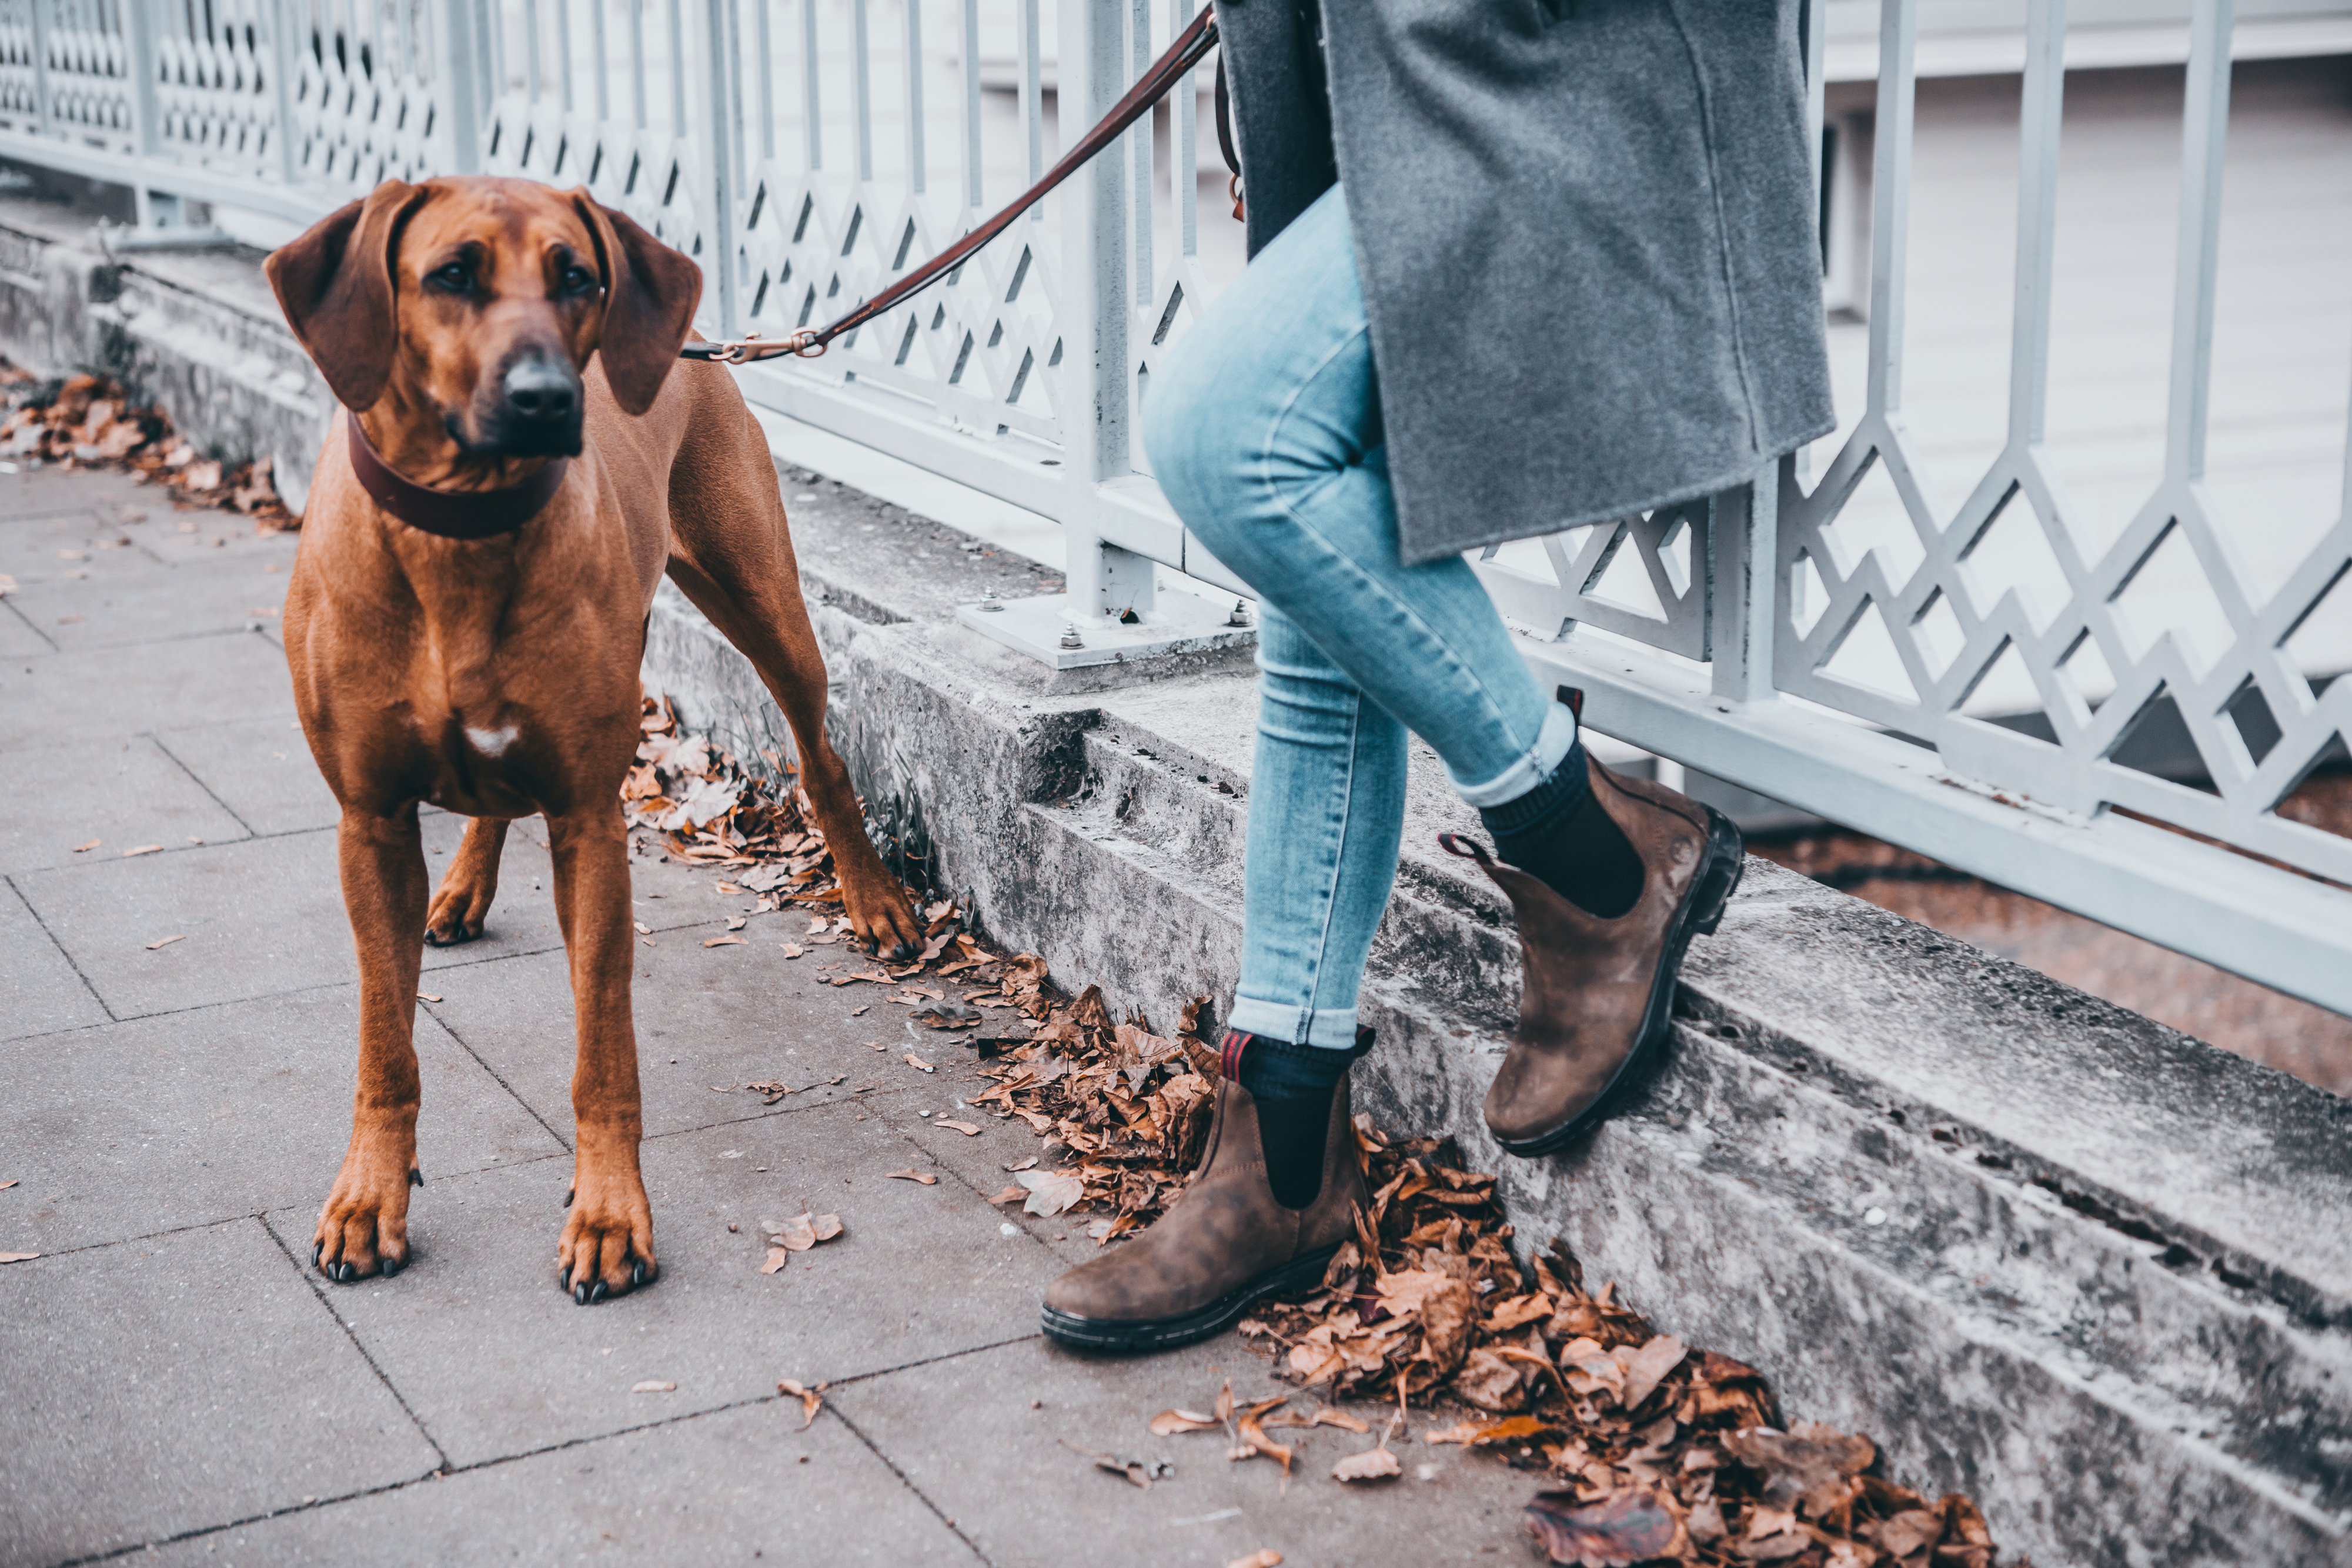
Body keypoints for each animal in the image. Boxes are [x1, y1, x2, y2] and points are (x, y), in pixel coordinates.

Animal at [260, 175, 917, 1298]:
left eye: (579, 277)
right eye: (451, 274)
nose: (546, 397)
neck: (466, 533)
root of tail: (702, 346)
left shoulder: (590, 823)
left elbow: (602, 1050)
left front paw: (610, 1218)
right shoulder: (370, 822)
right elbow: (387, 1047)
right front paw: (366, 1202)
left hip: (761, 598)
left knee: (822, 751)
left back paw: (874, 899)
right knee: (489, 801)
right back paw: (461, 889)